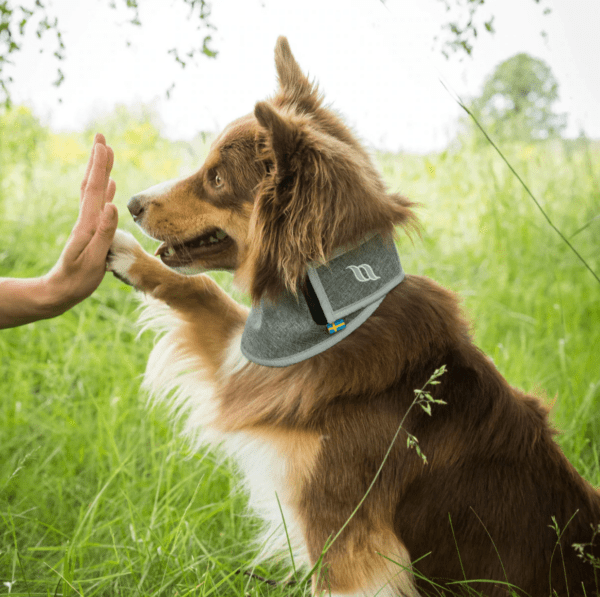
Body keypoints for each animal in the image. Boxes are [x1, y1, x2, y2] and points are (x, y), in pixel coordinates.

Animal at [108, 38, 600, 596]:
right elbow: (204, 291)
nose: (132, 203)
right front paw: (125, 256)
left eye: (215, 178)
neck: (328, 317)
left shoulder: (346, 539)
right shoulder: (255, 362)